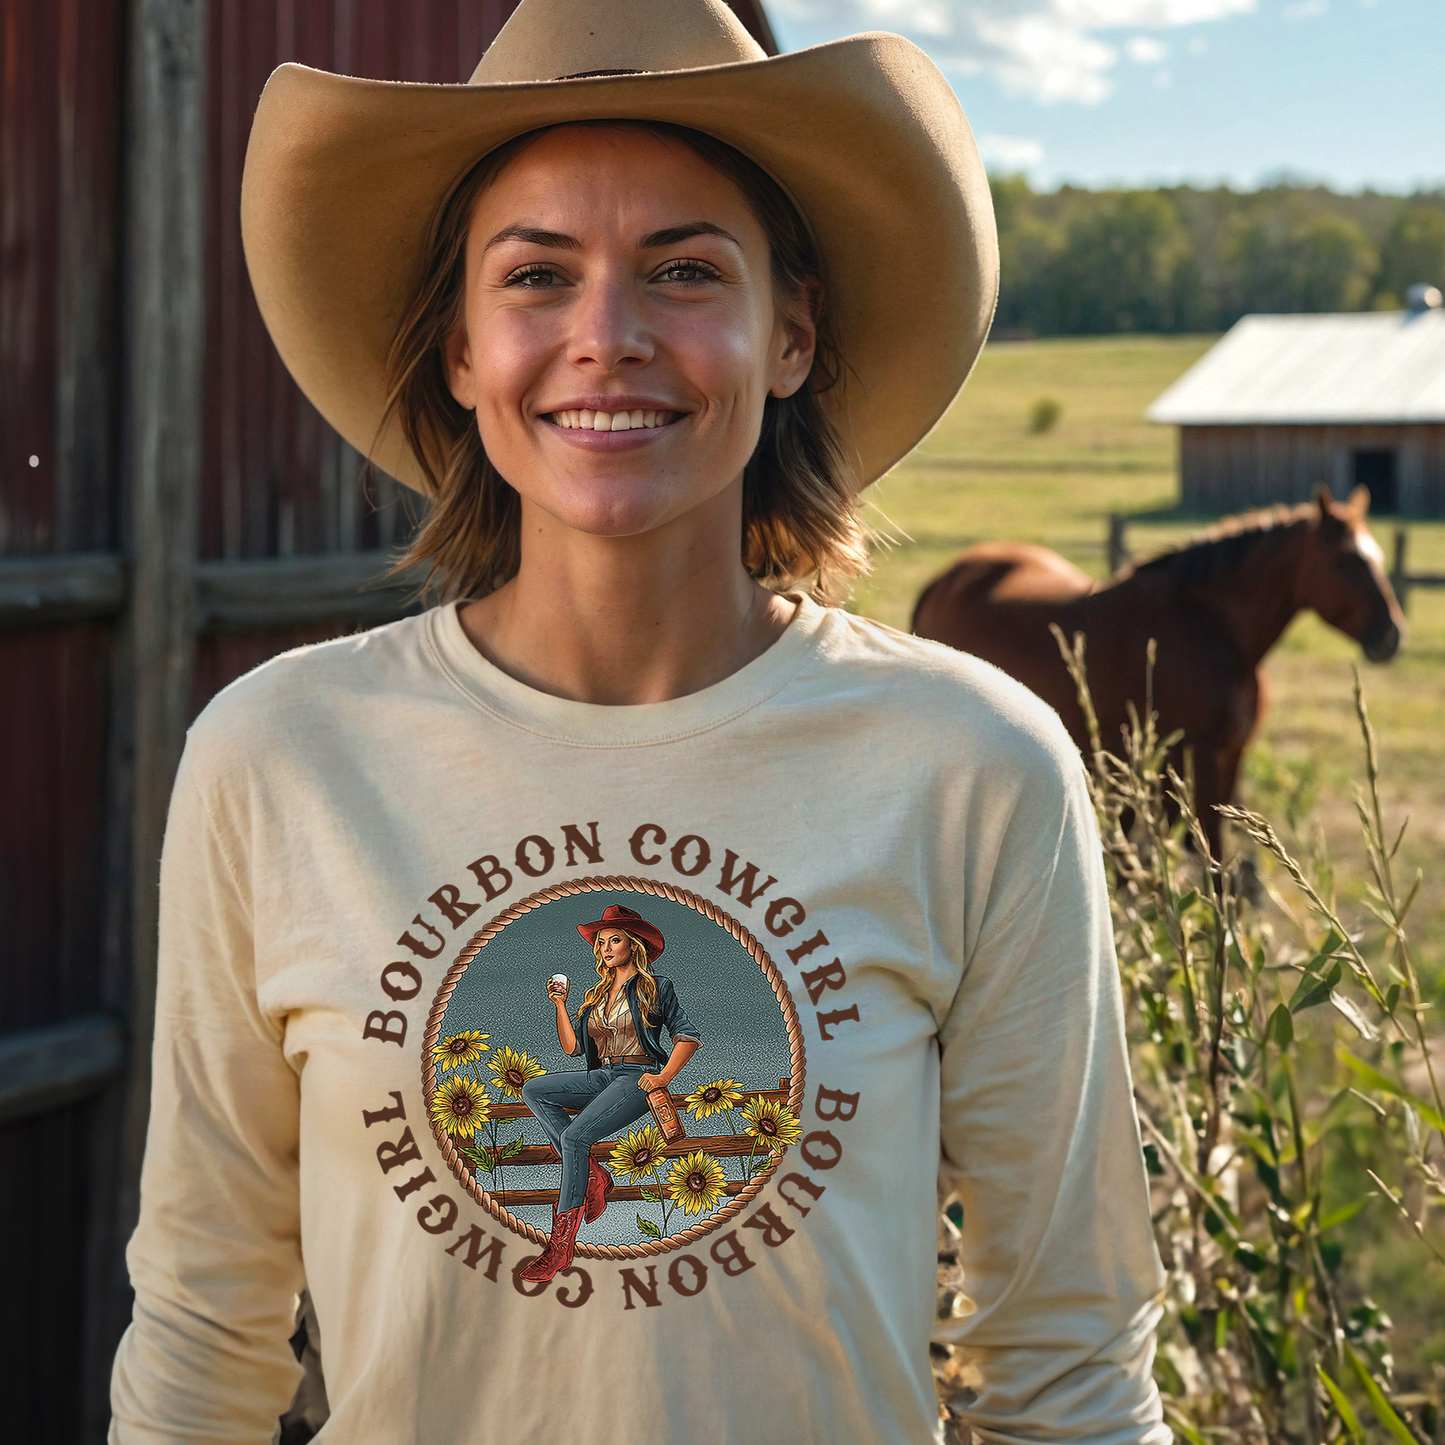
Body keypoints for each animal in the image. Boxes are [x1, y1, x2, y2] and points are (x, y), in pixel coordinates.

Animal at [913, 485, 1398, 849]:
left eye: (1378, 556)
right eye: (1346, 560)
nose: (1392, 635)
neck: (1208, 624)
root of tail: (943, 581)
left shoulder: (1230, 757)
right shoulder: (1195, 760)